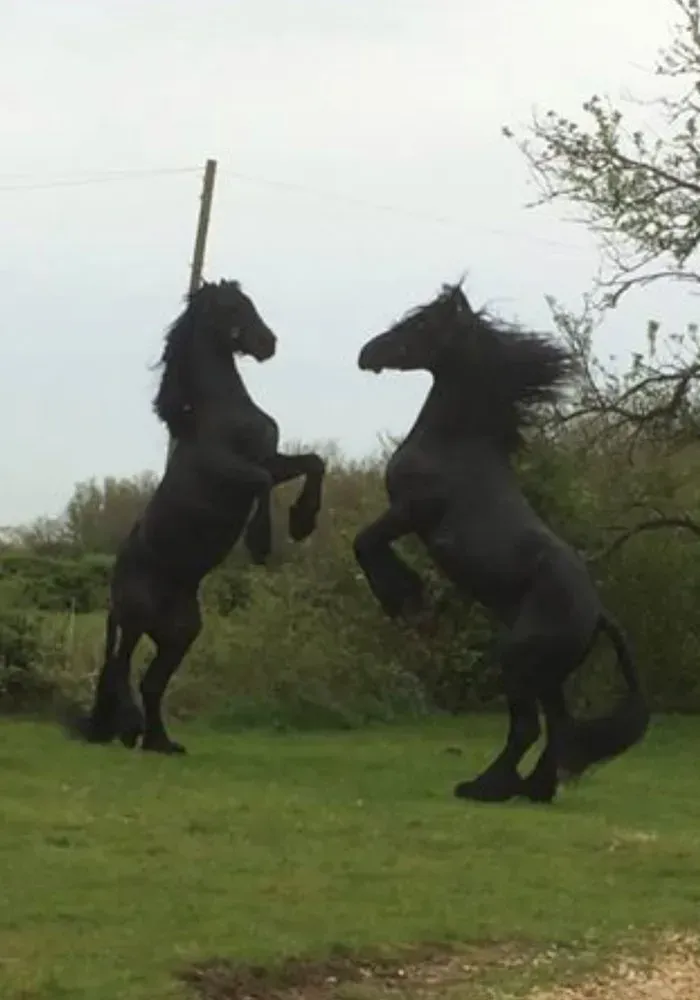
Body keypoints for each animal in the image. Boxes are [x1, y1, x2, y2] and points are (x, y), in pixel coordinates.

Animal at [66, 279, 326, 755]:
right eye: (232, 307)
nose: (268, 343)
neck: (218, 409)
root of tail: (115, 592)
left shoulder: (273, 457)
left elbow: (313, 463)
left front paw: (303, 522)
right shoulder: (234, 470)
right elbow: (261, 481)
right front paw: (262, 543)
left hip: (181, 634)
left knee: (151, 684)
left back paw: (161, 743)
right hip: (133, 622)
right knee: (120, 671)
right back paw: (132, 731)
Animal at [354, 281, 649, 804]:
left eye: (421, 323)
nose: (368, 353)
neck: (456, 445)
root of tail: (598, 615)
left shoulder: (410, 512)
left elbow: (365, 542)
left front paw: (403, 597)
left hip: (516, 660)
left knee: (529, 728)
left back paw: (484, 787)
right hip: (547, 674)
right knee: (559, 728)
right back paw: (533, 790)